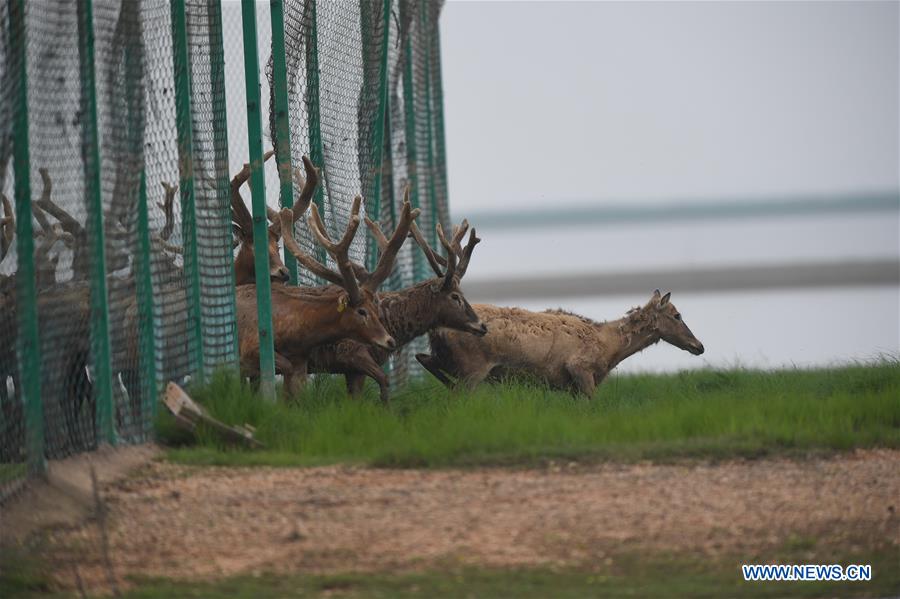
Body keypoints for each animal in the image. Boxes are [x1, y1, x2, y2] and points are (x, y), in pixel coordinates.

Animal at [306, 195, 486, 404]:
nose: (482, 325)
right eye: (455, 296)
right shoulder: (351, 353)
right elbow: (383, 381)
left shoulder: (353, 369)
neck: (389, 324)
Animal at [418, 292, 708, 398]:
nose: (699, 346)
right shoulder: (580, 367)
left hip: (450, 360)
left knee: (424, 359)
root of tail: (437, 330)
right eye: (677, 315)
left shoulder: (571, 386)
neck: (609, 348)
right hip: (473, 366)